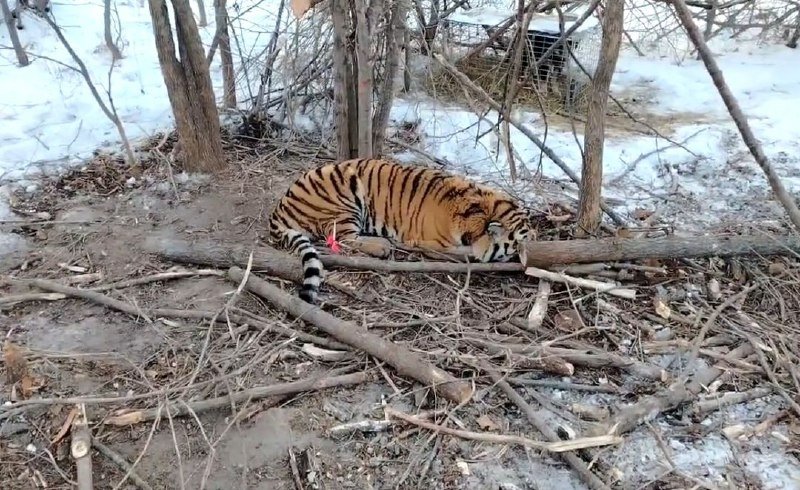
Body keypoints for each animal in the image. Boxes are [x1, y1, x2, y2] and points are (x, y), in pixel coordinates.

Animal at [268, 158, 533, 303]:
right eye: (518, 243)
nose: (529, 254)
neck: (477, 208)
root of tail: (280, 206)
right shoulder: (434, 244)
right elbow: (463, 253)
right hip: (344, 197)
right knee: (342, 239)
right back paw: (382, 246)